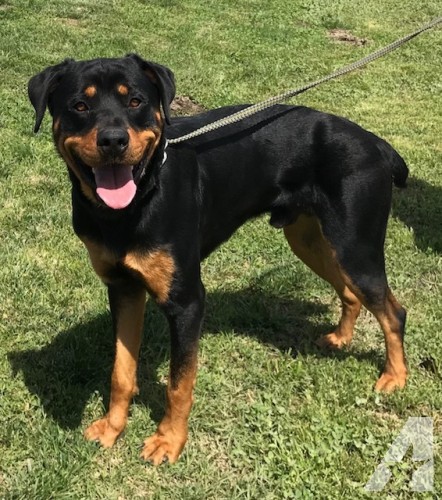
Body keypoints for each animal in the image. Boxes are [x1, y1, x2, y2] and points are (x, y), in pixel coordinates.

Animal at [26, 54, 408, 464]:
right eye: (80, 105)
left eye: (136, 102)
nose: (113, 141)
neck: (135, 203)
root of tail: (378, 145)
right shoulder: (123, 288)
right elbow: (121, 372)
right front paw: (113, 428)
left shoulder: (186, 301)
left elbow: (179, 382)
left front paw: (169, 441)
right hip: (311, 240)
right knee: (351, 293)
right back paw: (340, 338)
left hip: (355, 247)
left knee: (393, 311)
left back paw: (395, 377)